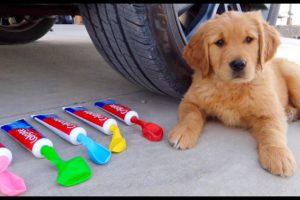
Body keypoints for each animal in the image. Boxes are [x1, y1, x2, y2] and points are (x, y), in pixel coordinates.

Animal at [169, 10, 300, 177]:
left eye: (249, 39)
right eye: (219, 42)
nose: (238, 64)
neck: (231, 87)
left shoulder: (271, 111)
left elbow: (272, 131)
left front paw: (278, 155)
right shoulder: (190, 100)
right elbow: (191, 115)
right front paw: (183, 132)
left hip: (294, 77)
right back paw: (290, 112)